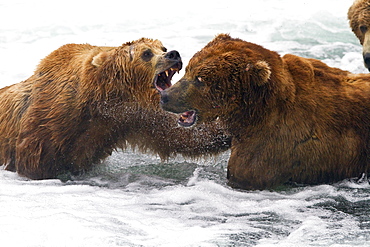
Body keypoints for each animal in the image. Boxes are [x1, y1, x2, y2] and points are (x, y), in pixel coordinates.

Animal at [0, 37, 231, 179]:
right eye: (146, 53)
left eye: (163, 48)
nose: (174, 54)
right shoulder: (54, 113)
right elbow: (34, 157)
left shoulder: (132, 116)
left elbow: (181, 135)